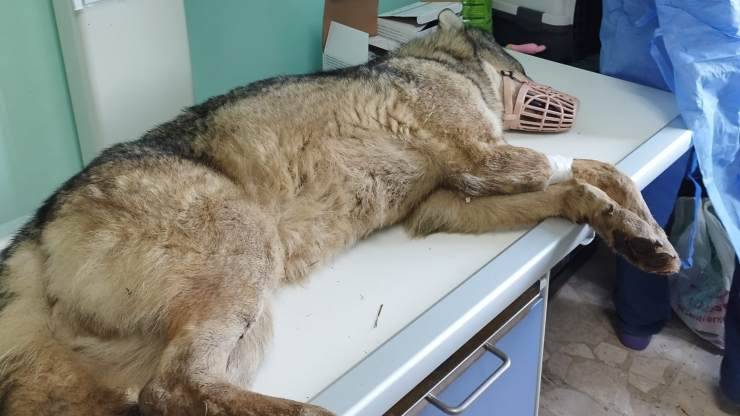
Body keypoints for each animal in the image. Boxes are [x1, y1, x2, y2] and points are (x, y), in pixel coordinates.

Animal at [0, 11, 678, 416]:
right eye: (520, 67)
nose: (576, 98)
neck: (431, 62)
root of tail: (37, 225)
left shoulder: (442, 205)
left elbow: (589, 182)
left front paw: (636, 233)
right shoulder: (488, 157)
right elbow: (581, 166)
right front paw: (631, 217)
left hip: (236, 332)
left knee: (163, 396)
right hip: (247, 265)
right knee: (173, 390)